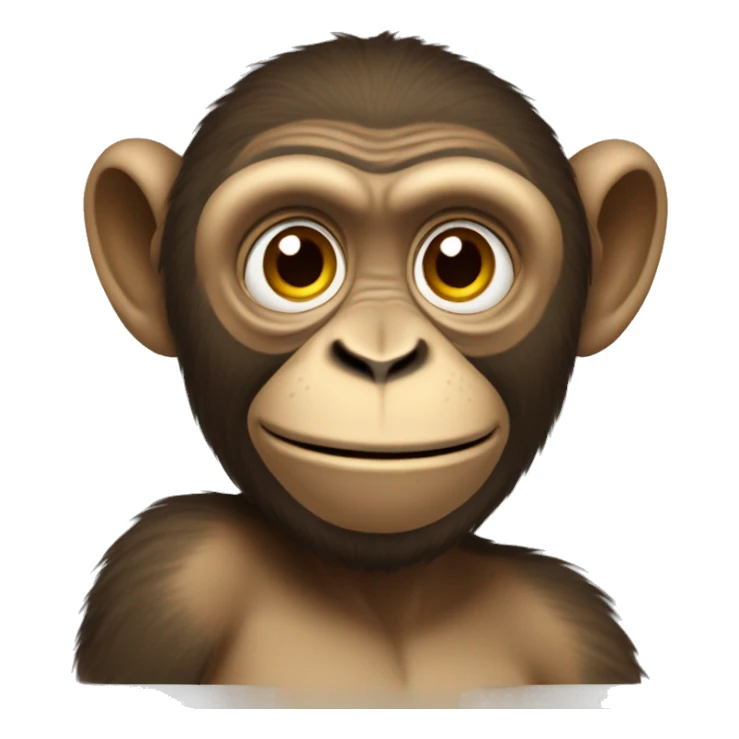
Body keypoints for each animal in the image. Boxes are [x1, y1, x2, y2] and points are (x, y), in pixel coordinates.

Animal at [75, 32, 666, 694]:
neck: (385, 598)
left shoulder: (574, 626)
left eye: (460, 263)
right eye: (296, 261)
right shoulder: (171, 575)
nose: (380, 358)